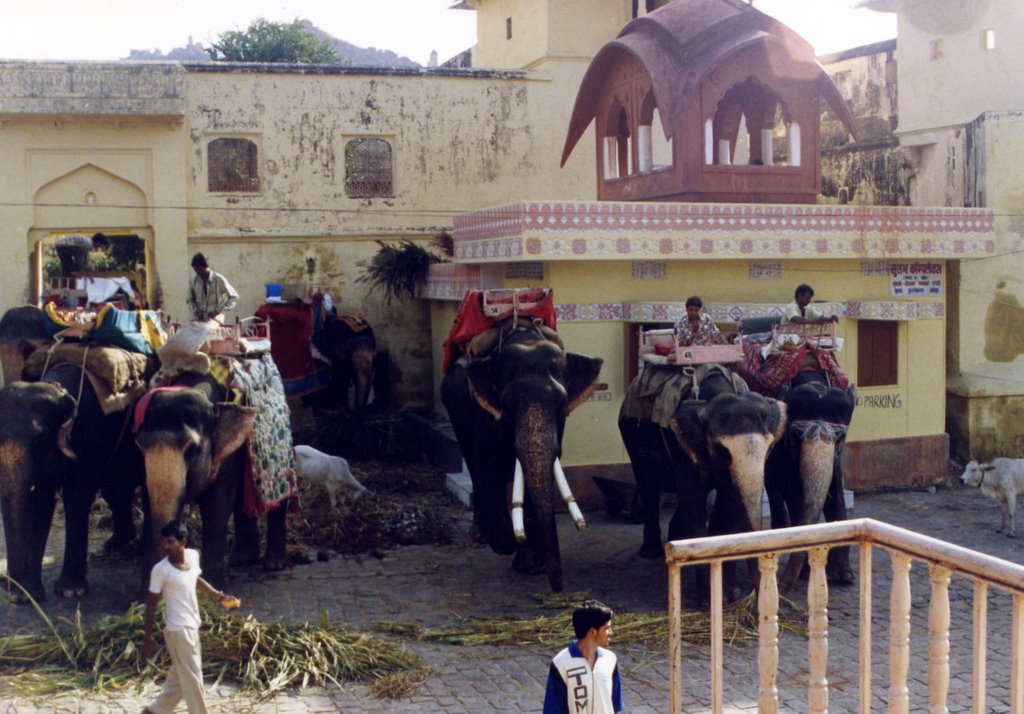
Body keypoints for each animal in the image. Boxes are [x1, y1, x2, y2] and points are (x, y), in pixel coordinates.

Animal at [438, 323, 598, 590]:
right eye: (507, 407)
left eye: (562, 404)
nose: (558, 588)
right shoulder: (486, 417)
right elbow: (486, 465)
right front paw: (511, 542)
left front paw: (532, 565)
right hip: (454, 409)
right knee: (472, 463)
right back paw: (482, 536)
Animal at [770, 372, 856, 590]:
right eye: (796, 435)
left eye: (840, 436)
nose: (780, 584)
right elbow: (793, 492)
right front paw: (807, 572)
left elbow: (835, 485)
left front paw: (844, 576)